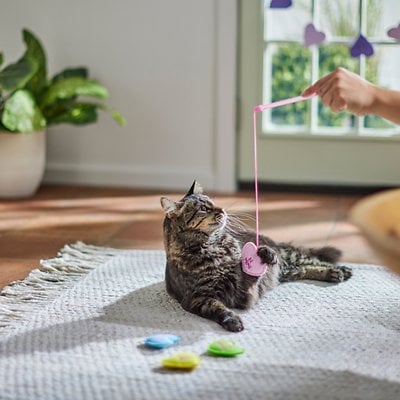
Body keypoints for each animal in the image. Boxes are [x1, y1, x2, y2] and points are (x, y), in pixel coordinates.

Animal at [161, 181, 352, 332]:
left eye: (213, 202)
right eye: (203, 209)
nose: (223, 209)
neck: (212, 247)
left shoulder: (242, 286)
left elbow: (251, 272)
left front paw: (265, 253)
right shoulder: (200, 298)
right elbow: (219, 309)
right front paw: (233, 321)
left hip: (290, 257)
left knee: (315, 260)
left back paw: (340, 270)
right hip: (288, 270)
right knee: (304, 269)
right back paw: (334, 273)